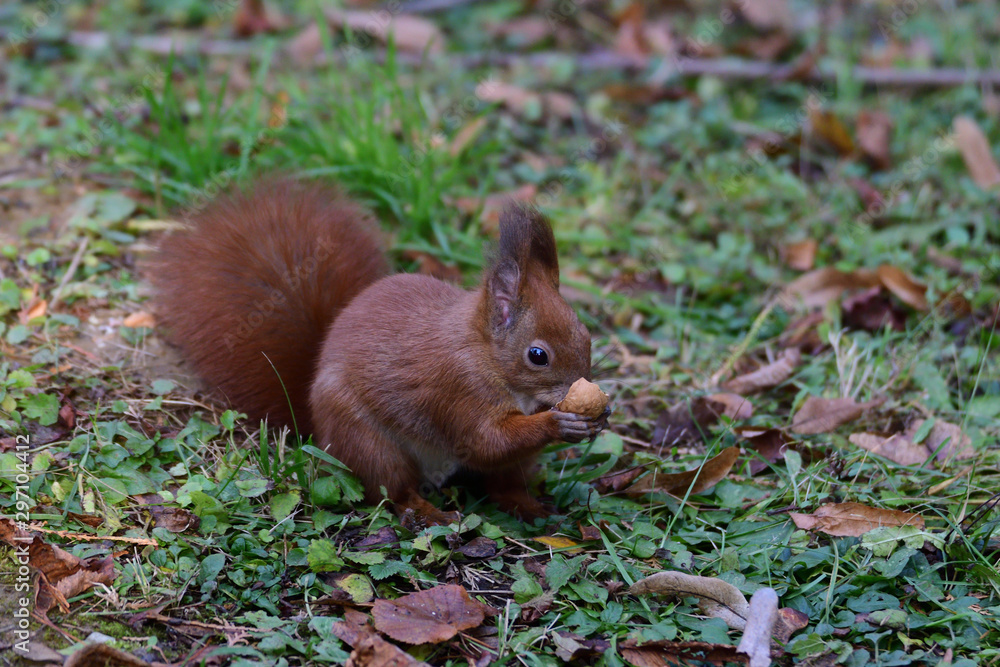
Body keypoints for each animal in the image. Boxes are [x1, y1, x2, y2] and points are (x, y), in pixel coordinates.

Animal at [152, 178, 608, 521]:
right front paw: (559, 423)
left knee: (502, 484)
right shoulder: (458, 389)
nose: (582, 387)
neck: (486, 356)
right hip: (369, 442)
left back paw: (528, 505)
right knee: (392, 491)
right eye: (538, 355)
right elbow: (485, 441)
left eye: (586, 334)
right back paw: (428, 513)